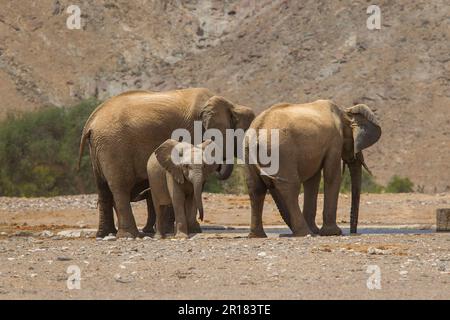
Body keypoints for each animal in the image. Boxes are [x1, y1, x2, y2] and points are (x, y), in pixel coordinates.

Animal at [77, 87, 253, 238]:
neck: (231, 105)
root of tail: (91, 121)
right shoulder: (193, 130)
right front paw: (192, 230)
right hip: (113, 147)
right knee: (120, 187)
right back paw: (130, 235)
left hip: (98, 149)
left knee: (103, 188)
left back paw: (105, 234)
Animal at [244, 100, 382, 238]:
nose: (354, 232)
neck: (344, 113)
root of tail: (258, 127)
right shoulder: (335, 141)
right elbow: (332, 176)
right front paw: (333, 233)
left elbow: (313, 180)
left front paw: (317, 231)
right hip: (281, 152)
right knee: (290, 187)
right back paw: (304, 233)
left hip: (249, 155)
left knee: (256, 189)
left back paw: (258, 235)